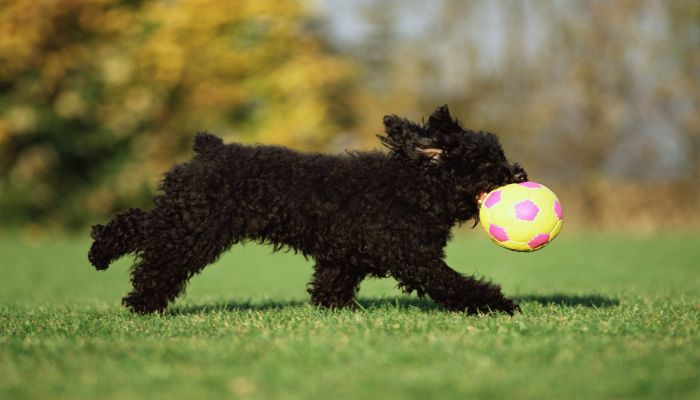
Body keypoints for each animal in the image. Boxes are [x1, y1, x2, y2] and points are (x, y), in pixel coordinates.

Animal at [89, 106, 524, 316]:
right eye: (487, 164)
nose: (519, 174)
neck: (414, 186)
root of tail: (209, 149)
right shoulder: (414, 258)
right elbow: (454, 283)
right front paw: (499, 304)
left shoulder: (343, 258)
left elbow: (330, 288)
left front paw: (334, 311)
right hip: (196, 227)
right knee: (156, 257)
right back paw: (138, 298)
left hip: (186, 218)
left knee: (140, 225)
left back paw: (102, 255)